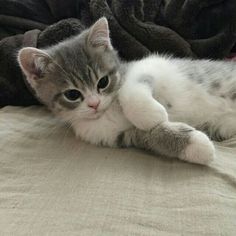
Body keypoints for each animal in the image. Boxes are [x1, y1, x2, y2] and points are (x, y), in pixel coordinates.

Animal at [18, 18, 236, 164]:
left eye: (103, 82)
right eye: (72, 95)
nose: (94, 103)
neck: (108, 111)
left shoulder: (147, 66)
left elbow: (129, 91)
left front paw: (150, 115)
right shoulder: (111, 135)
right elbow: (148, 136)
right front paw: (197, 146)